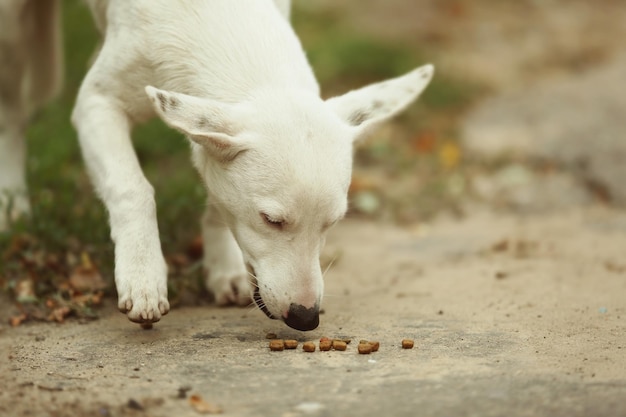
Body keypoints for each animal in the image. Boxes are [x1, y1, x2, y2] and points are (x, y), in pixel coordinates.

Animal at [0, 0, 432, 332]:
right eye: (272, 220)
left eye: (332, 223)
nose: (306, 318)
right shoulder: (97, 105)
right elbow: (132, 188)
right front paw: (143, 276)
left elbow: (218, 199)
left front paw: (224, 268)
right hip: (13, 30)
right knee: (12, 116)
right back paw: (13, 205)